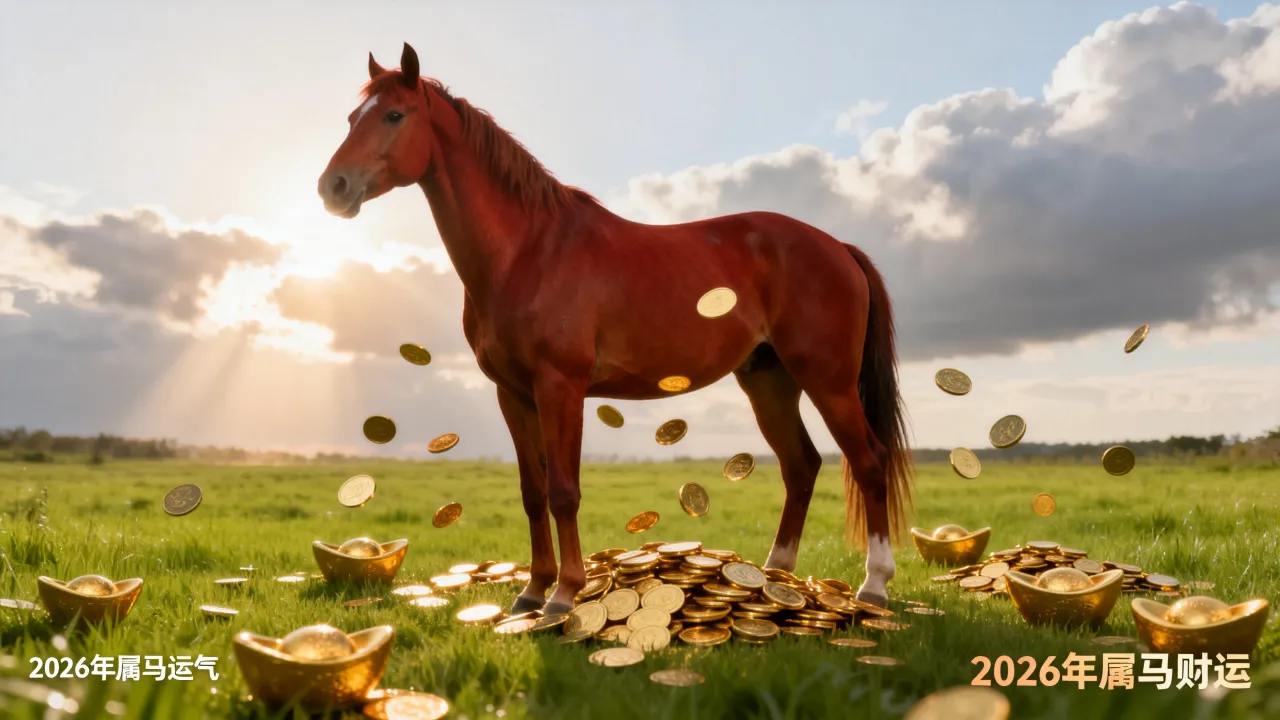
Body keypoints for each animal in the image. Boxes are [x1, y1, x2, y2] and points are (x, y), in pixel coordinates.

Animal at [318, 43, 914, 617]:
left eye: (394, 114)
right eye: (350, 117)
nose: (332, 187)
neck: (528, 250)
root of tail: (838, 247)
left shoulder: (561, 386)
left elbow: (563, 490)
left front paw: (563, 595)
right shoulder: (513, 394)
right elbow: (533, 491)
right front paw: (532, 592)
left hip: (827, 380)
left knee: (868, 461)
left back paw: (874, 586)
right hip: (769, 380)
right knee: (801, 465)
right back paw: (775, 579)